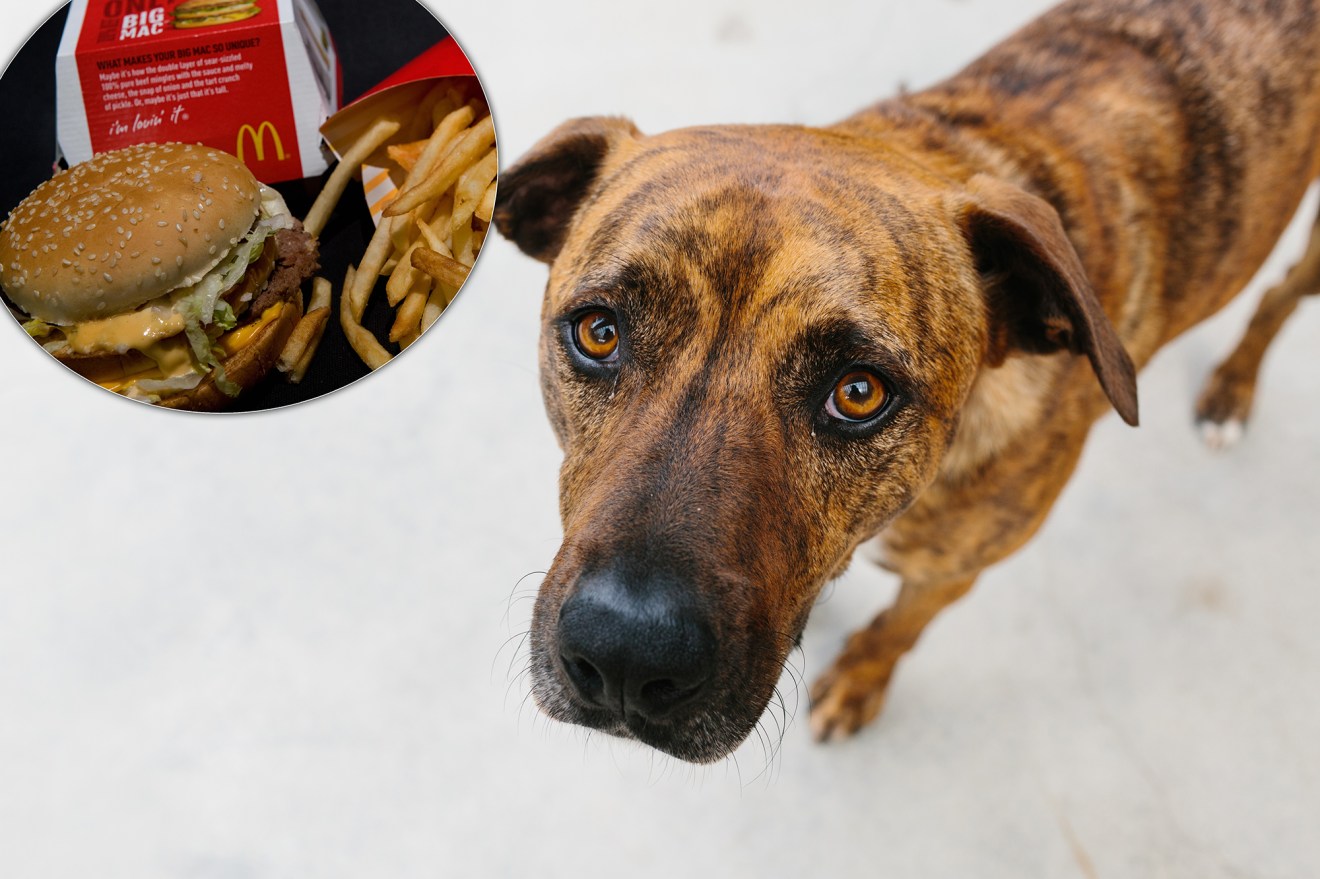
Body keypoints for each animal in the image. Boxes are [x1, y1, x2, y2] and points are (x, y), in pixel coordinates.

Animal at [496, 0, 1320, 760]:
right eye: (600, 332)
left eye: (859, 391)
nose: (625, 657)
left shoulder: (957, 568)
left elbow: (899, 627)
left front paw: (860, 677)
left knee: (1281, 294)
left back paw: (1232, 388)